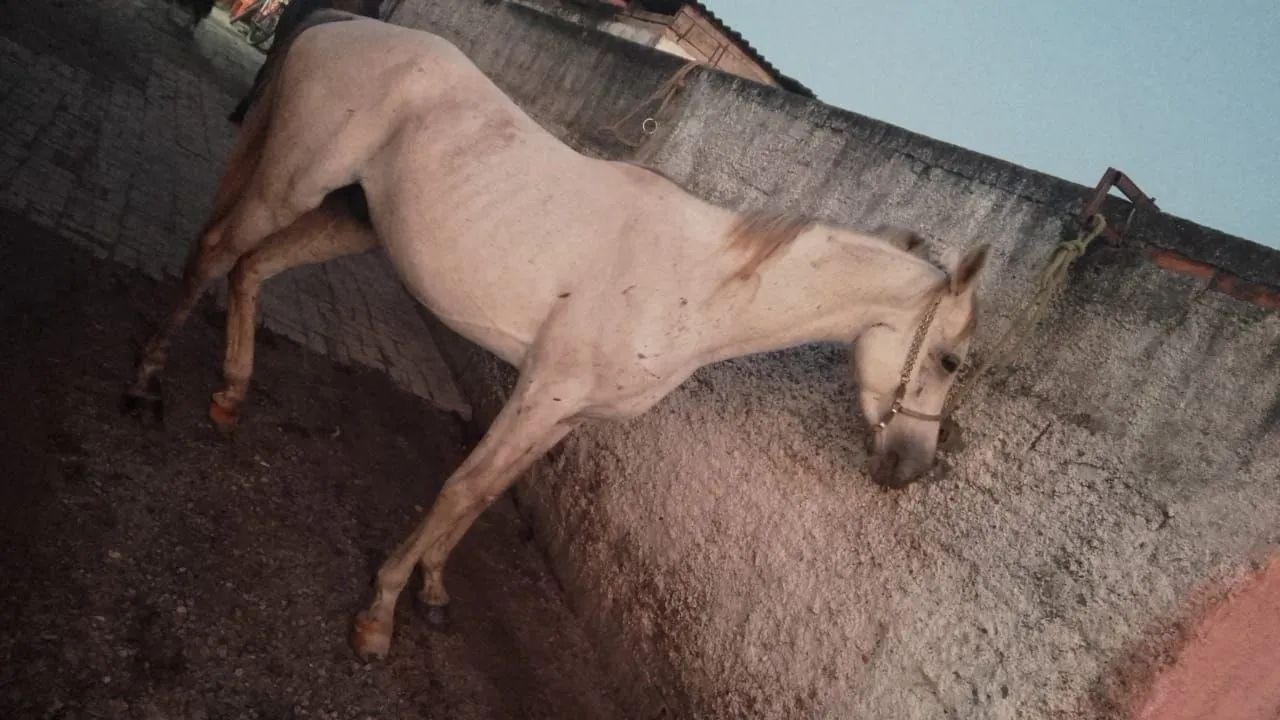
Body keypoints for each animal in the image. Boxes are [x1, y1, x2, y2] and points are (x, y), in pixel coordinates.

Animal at [124, 11, 989, 660]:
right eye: (950, 359)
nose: (909, 468)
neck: (695, 286)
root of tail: (342, 24)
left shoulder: (567, 415)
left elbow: (486, 497)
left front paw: (433, 592)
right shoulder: (543, 392)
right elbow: (463, 486)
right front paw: (379, 614)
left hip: (350, 216)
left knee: (251, 272)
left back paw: (230, 397)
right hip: (290, 184)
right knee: (214, 254)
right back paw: (147, 381)